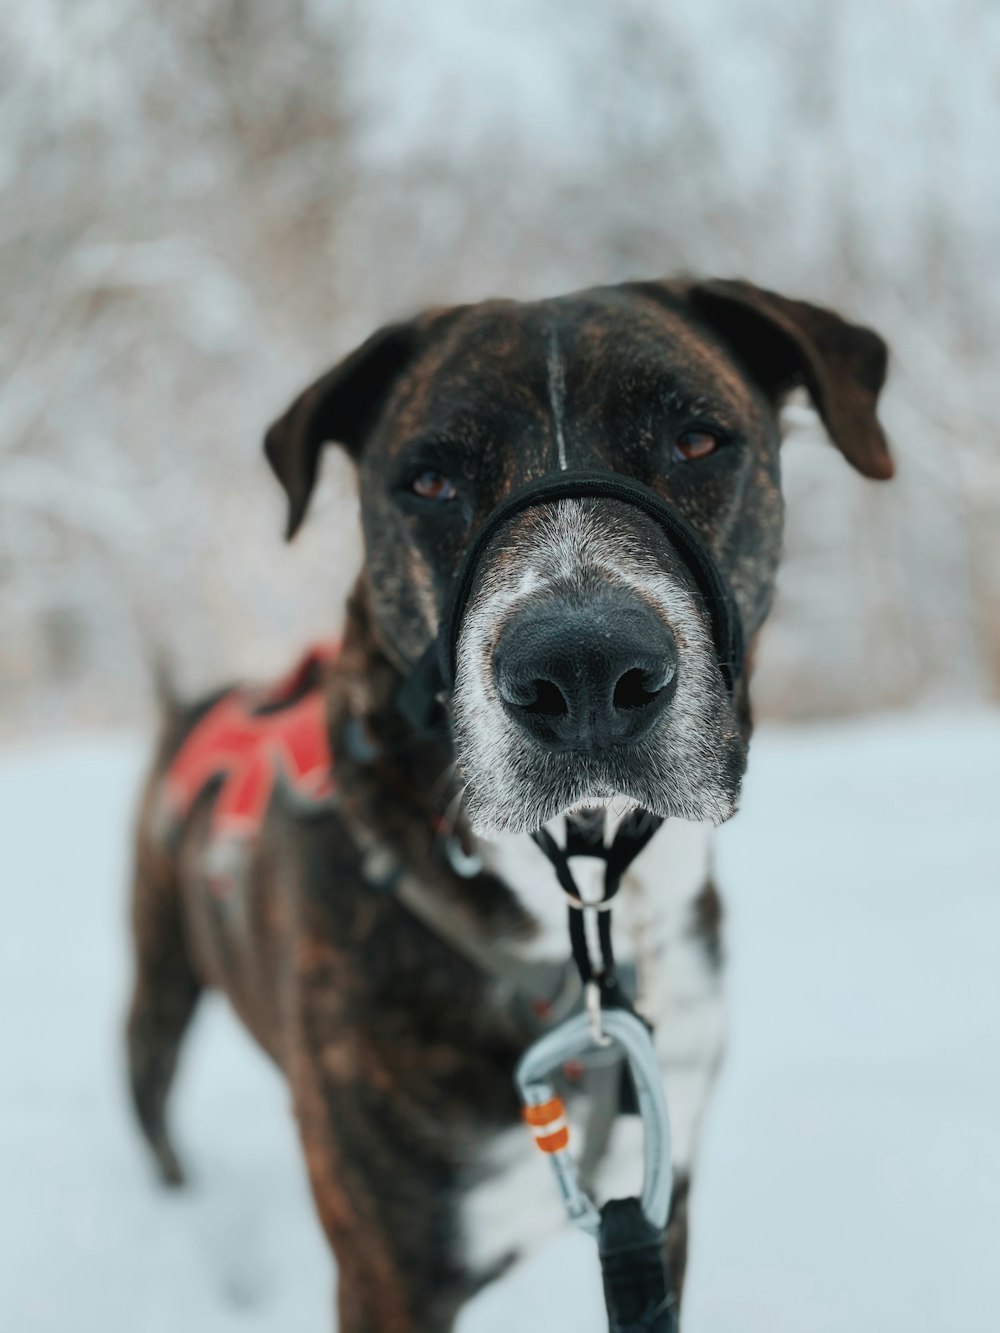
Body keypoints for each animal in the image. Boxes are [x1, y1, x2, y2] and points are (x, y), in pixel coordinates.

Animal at [125, 275, 890, 1327]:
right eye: (428, 480)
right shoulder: (387, 1272)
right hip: (160, 971)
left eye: (698, 440)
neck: (587, 946)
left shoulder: (662, 1205)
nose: (585, 667)